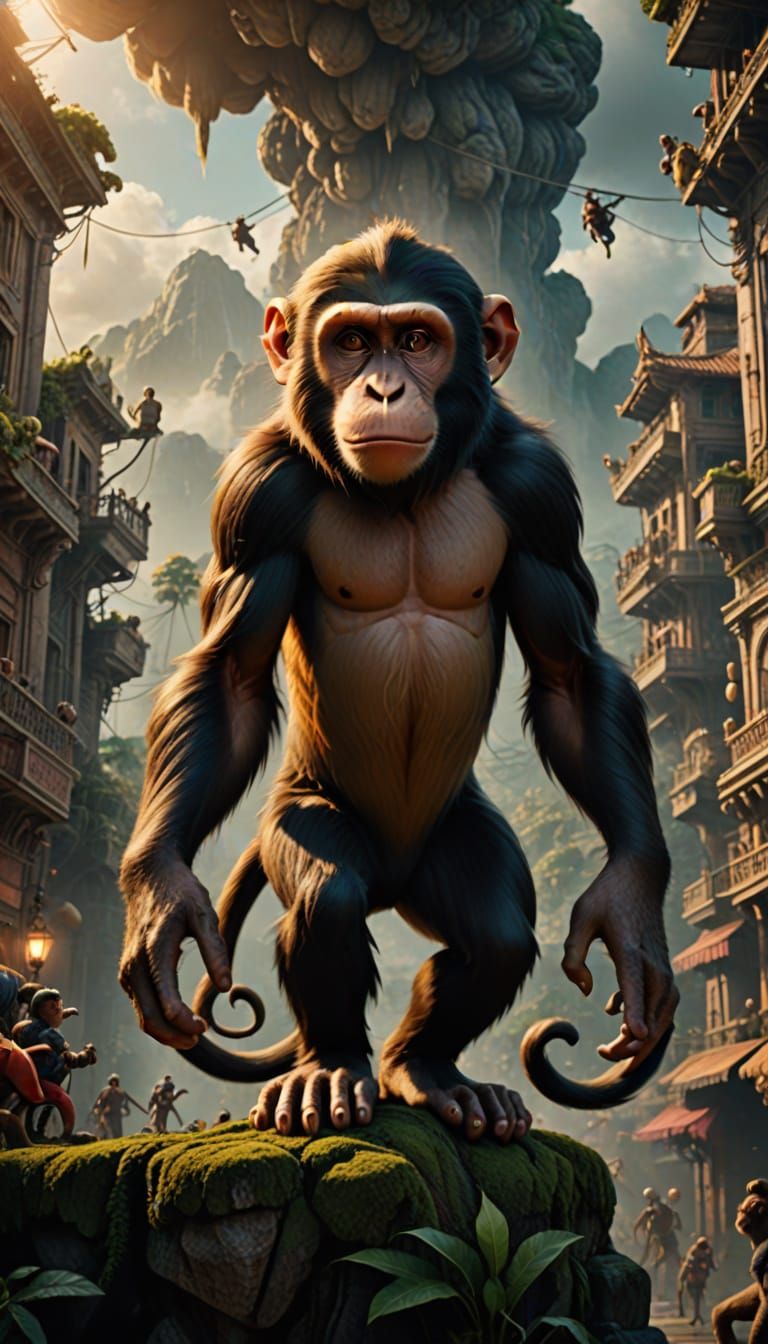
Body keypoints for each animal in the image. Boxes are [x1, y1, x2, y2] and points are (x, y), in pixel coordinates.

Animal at [119, 220, 677, 1141]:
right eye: (351, 342)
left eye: (417, 340)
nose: (383, 388)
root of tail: (395, 879)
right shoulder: (257, 490)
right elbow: (230, 677)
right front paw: (161, 894)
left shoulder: (539, 489)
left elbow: (571, 674)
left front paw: (629, 907)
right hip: (306, 815)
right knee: (330, 899)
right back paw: (332, 1069)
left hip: (453, 841)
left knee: (494, 936)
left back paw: (430, 1070)